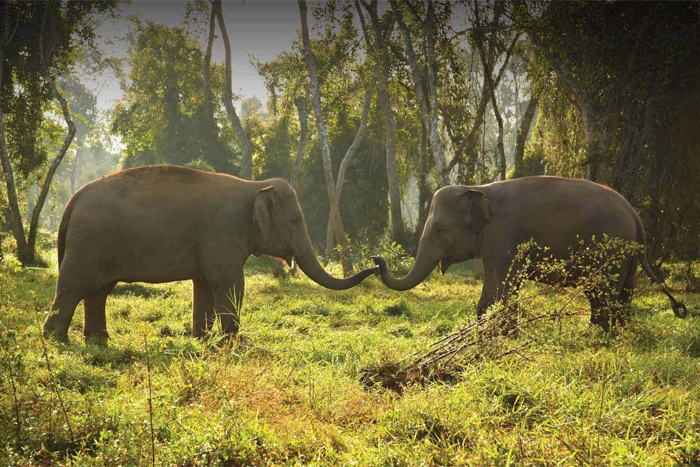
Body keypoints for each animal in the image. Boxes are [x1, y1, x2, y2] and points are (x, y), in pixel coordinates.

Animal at [43, 166, 378, 342]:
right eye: (296, 220)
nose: (377, 264)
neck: (254, 186)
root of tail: (72, 202)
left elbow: (204, 285)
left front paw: (201, 338)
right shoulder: (222, 235)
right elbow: (229, 283)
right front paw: (231, 340)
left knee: (98, 291)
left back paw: (98, 340)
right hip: (89, 244)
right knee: (73, 287)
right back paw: (56, 339)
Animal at [374, 176, 688, 332]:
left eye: (439, 230)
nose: (377, 261)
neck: (477, 188)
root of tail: (635, 216)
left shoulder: (503, 237)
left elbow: (500, 287)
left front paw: (498, 334)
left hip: (610, 251)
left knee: (602, 294)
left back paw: (597, 336)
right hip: (627, 257)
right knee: (622, 294)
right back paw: (616, 333)